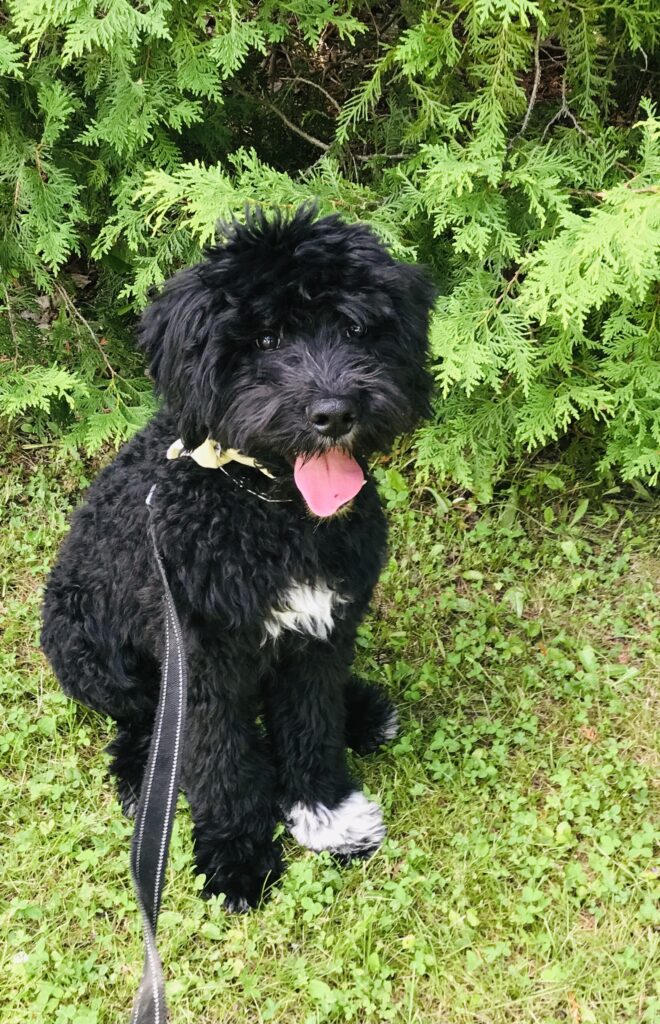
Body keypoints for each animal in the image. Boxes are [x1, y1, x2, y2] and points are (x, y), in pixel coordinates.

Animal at [39, 207, 431, 913]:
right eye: (266, 339)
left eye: (355, 328)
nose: (335, 412)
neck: (269, 508)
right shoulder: (202, 660)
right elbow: (220, 760)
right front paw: (237, 857)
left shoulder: (322, 634)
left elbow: (310, 723)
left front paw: (325, 814)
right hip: (93, 653)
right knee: (141, 723)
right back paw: (142, 777)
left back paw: (361, 711)